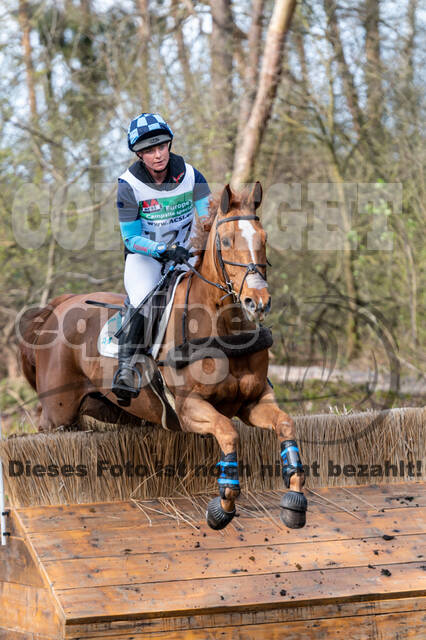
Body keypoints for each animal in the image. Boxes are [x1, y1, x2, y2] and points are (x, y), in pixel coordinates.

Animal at [19, 181, 306, 528]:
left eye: (264, 239)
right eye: (225, 241)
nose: (258, 302)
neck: (223, 327)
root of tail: (60, 304)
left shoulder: (253, 401)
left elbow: (286, 424)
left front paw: (295, 499)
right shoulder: (189, 407)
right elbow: (228, 432)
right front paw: (223, 504)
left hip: (108, 408)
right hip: (57, 415)